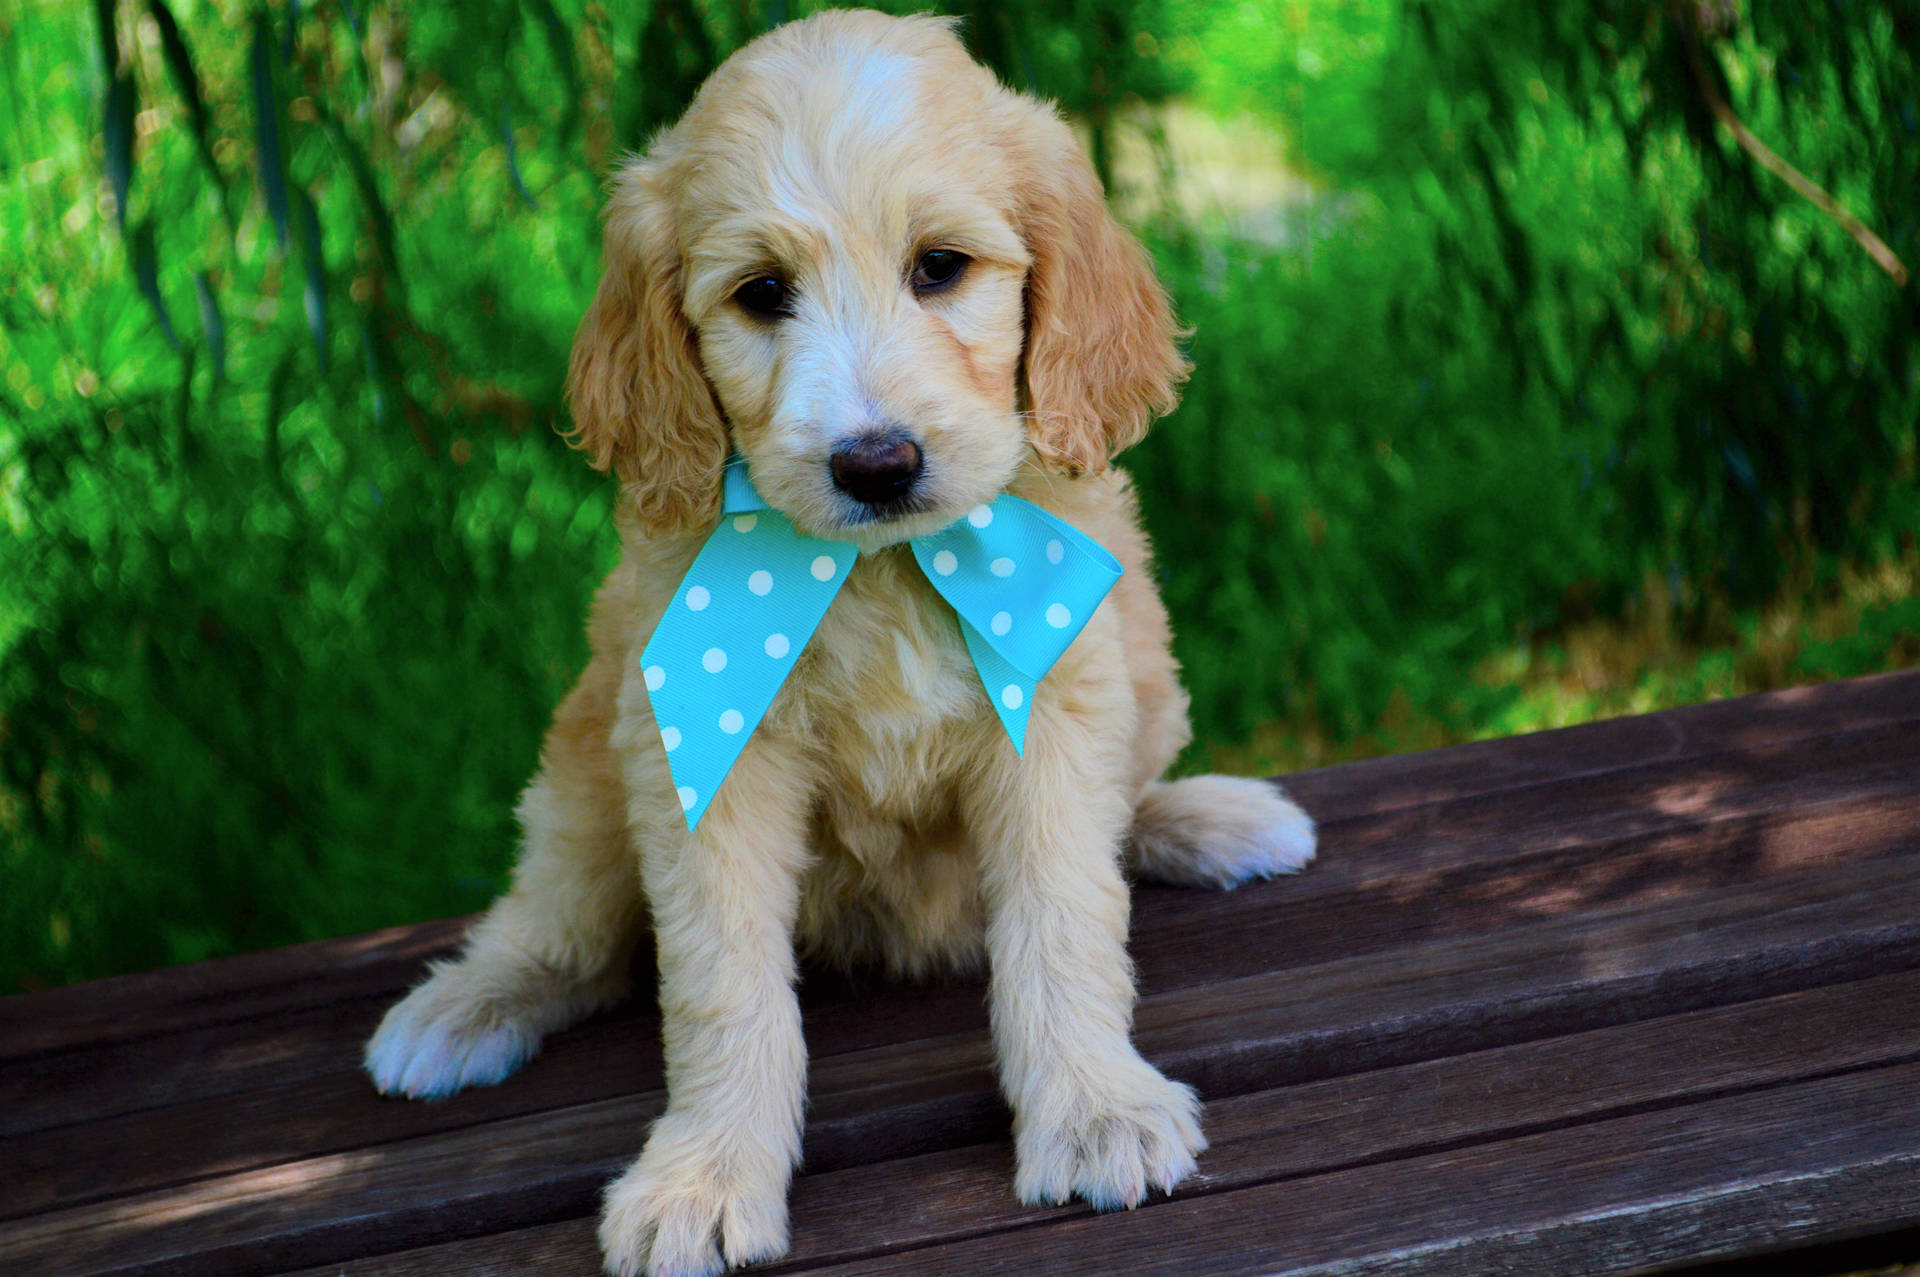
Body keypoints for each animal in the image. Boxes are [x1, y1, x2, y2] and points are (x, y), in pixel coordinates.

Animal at [364, 12, 1313, 1275]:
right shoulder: (703, 753)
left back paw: (1211, 820)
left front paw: (1094, 1108)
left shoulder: (1056, 708)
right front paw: (706, 1174)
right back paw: (462, 1006)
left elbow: (1067, 921)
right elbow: (720, 983)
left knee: (1126, 807)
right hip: (585, 769)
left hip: (1144, 666)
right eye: (764, 293)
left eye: (940, 267)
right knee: (566, 926)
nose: (876, 461)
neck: (878, 568)